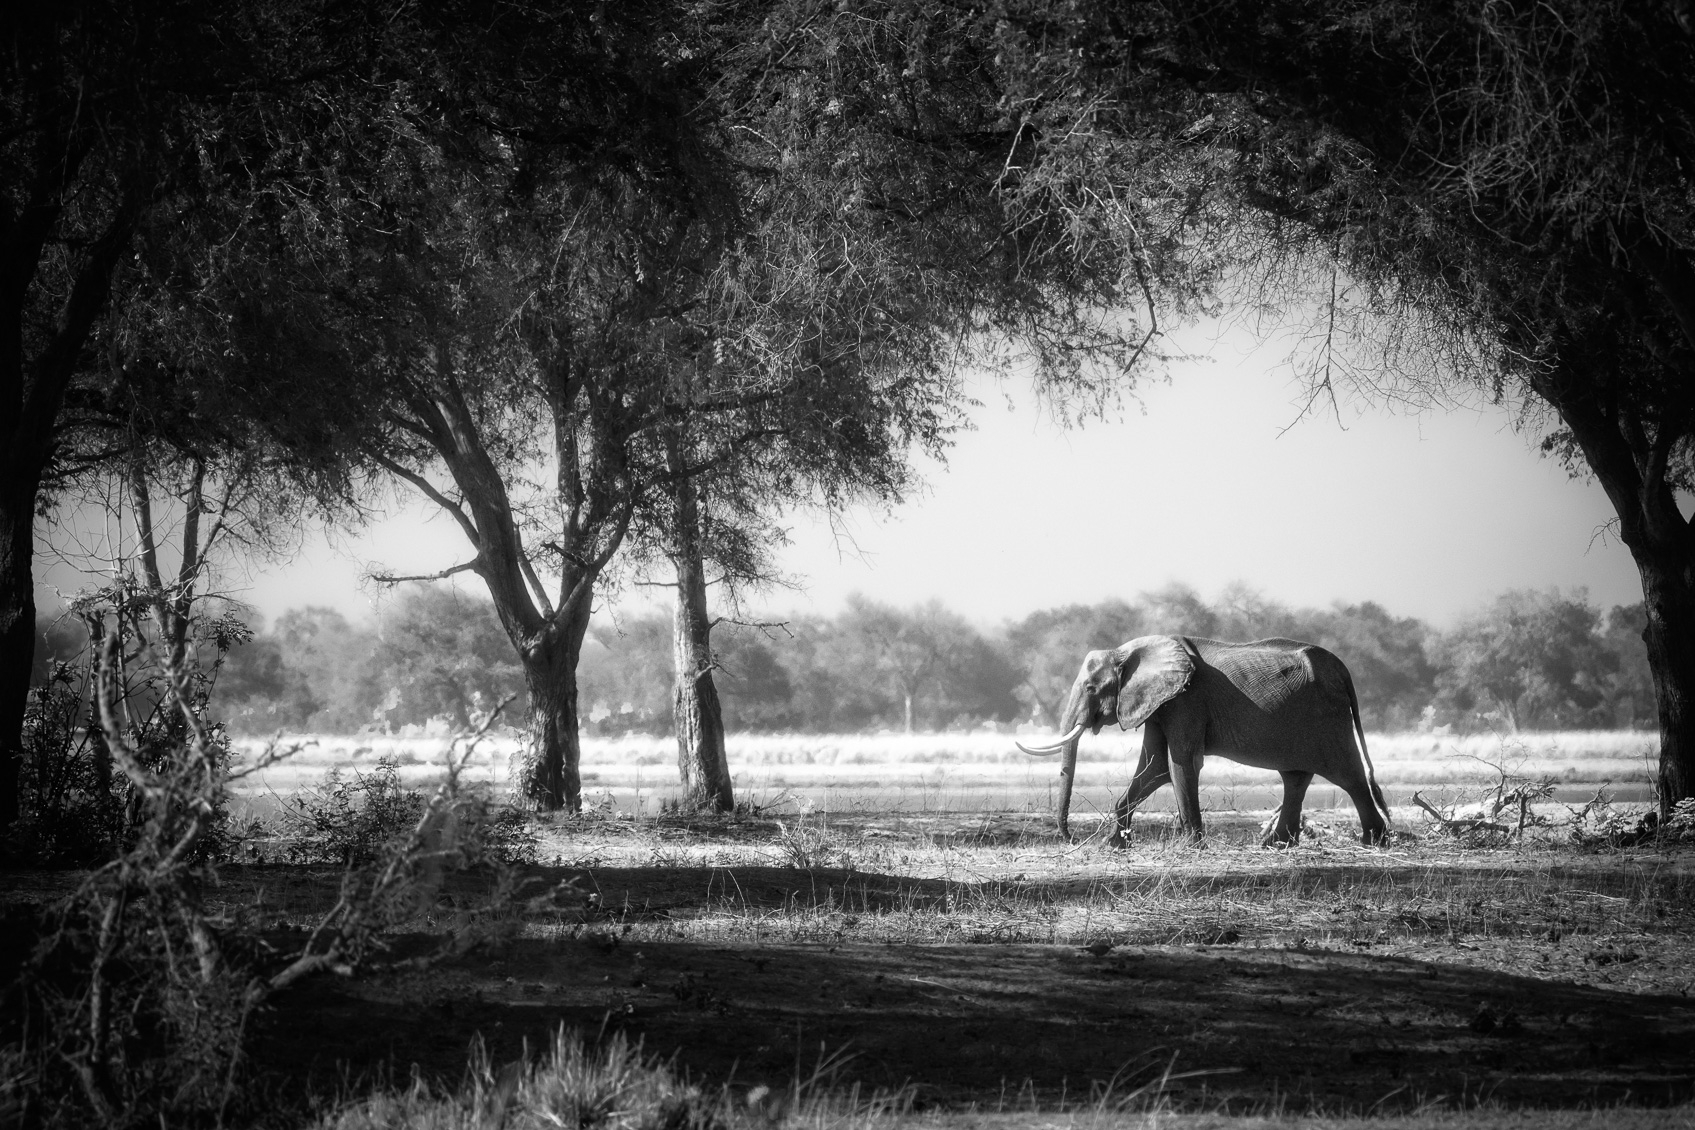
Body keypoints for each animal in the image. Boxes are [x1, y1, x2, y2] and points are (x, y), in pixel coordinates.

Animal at [1017, 635, 1390, 846]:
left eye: (1091, 687)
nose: (1071, 839)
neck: (1127, 650)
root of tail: (1343, 670)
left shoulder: (1186, 700)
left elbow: (1180, 763)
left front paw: (1190, 846)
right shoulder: (1161, 703)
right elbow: (1154, 768)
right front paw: (1114, 845)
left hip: (1329, 718)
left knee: (1349, 775)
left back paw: (1375, 841)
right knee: (1296, 777)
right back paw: (1276, 845)